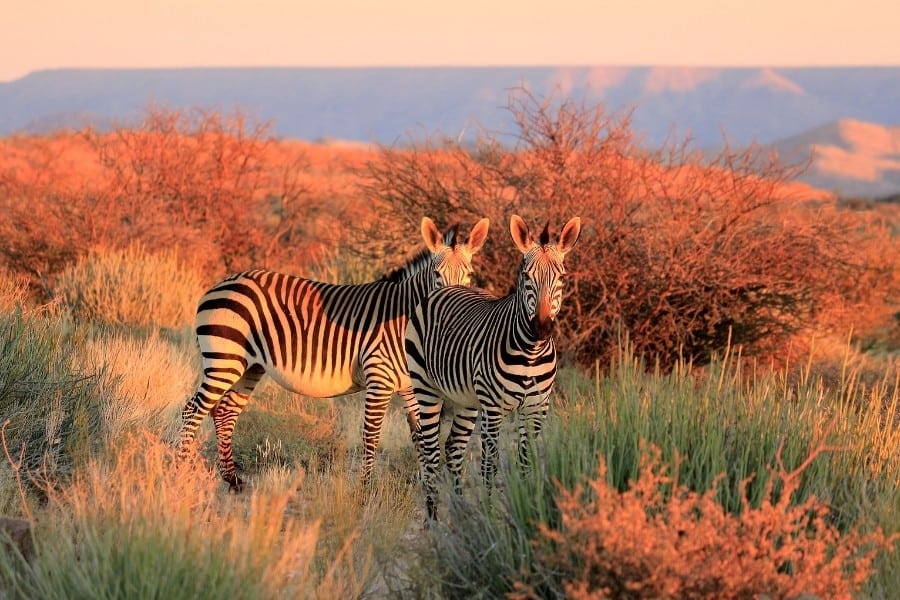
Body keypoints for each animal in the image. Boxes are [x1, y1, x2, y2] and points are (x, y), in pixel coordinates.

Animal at [177, 216, 491, 491]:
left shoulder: (409, 384)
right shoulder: (379, 376)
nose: (453, 307)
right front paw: (365, 489)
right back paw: (180, 472)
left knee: (225, 412)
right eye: (436, 275)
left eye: (469, 275)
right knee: (192, 411)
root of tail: (219, 284)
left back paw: (232, 480)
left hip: (248, 366)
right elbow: (371, 434)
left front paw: (427, 482)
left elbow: (420, 435)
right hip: (225, 360)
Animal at [405, 214, 581, 521]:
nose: (542, 328)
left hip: (466, 400)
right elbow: (490, 465)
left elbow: (526, 461)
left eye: (561, 277)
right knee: (430, 451)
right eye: (526, 277)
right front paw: (488, 514)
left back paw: (461, 513)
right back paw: (433, 517)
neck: (531, 352)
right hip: (426, 389)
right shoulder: (493, 409)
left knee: (453, 448)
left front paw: (528, 508)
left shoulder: (537, 408)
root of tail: (448, 287)